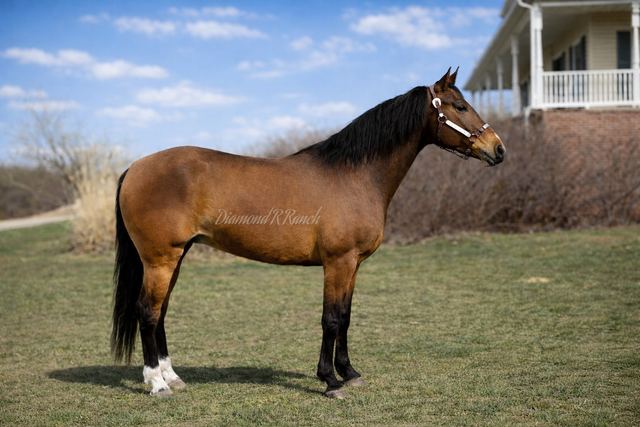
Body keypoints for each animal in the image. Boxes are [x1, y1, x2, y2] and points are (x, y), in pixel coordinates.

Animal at [111, 68, 505, 399]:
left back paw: (172, 376)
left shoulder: (353, 265)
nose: (498, 149)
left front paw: (349, 372)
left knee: (161, 311)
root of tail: (135, 168)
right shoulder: (338, 262)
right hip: (161, 259)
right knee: (147, 312)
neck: (354, 175)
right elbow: (330, 319)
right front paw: (330, 381)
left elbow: (345, 316)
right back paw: (157, 384)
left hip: (175, 257)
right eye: (460, 106)